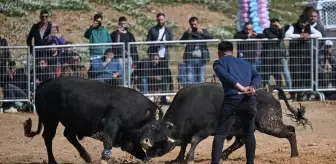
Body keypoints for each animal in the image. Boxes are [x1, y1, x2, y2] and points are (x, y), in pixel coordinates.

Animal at [23, 77, 176, 164]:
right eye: (154, 127)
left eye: (162, 141)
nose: (147, 142)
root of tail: (45, 83)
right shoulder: (111, 124)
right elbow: (108, 143)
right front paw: (104, 160)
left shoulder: (128, 140)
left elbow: (139, 153)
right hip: (50, 119)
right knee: (48, 138)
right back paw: (52, 160)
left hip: (72, 121)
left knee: (69, 135)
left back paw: (86, 157)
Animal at [140, 82, 312, 163]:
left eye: (160, 139)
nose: (146, 157)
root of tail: (267, 91)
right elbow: (183, 144)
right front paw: (178, 159)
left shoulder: (205, 130)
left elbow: (193, 141)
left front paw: (189, 158)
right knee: (240, 141)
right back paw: (223, 154)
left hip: (270, 124)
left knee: (290, 131)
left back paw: (294, 155)